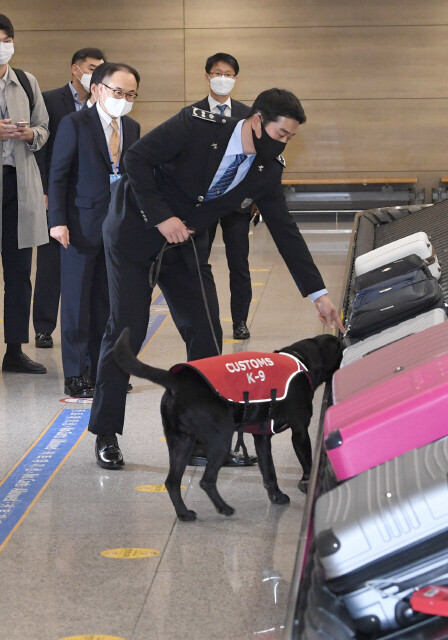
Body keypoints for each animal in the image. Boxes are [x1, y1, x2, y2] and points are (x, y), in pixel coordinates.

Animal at [114, 330, 342, 520]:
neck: (301, 359)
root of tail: (177, 382)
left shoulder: (262, 438)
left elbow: (269, 472)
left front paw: (276, 496)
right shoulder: (300, 430)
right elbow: (307, 463)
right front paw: (307, 484)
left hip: (181, 442)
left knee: (172, 482)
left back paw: (184, 513)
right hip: (220, 439)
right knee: (206, 481)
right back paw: (223, 508)